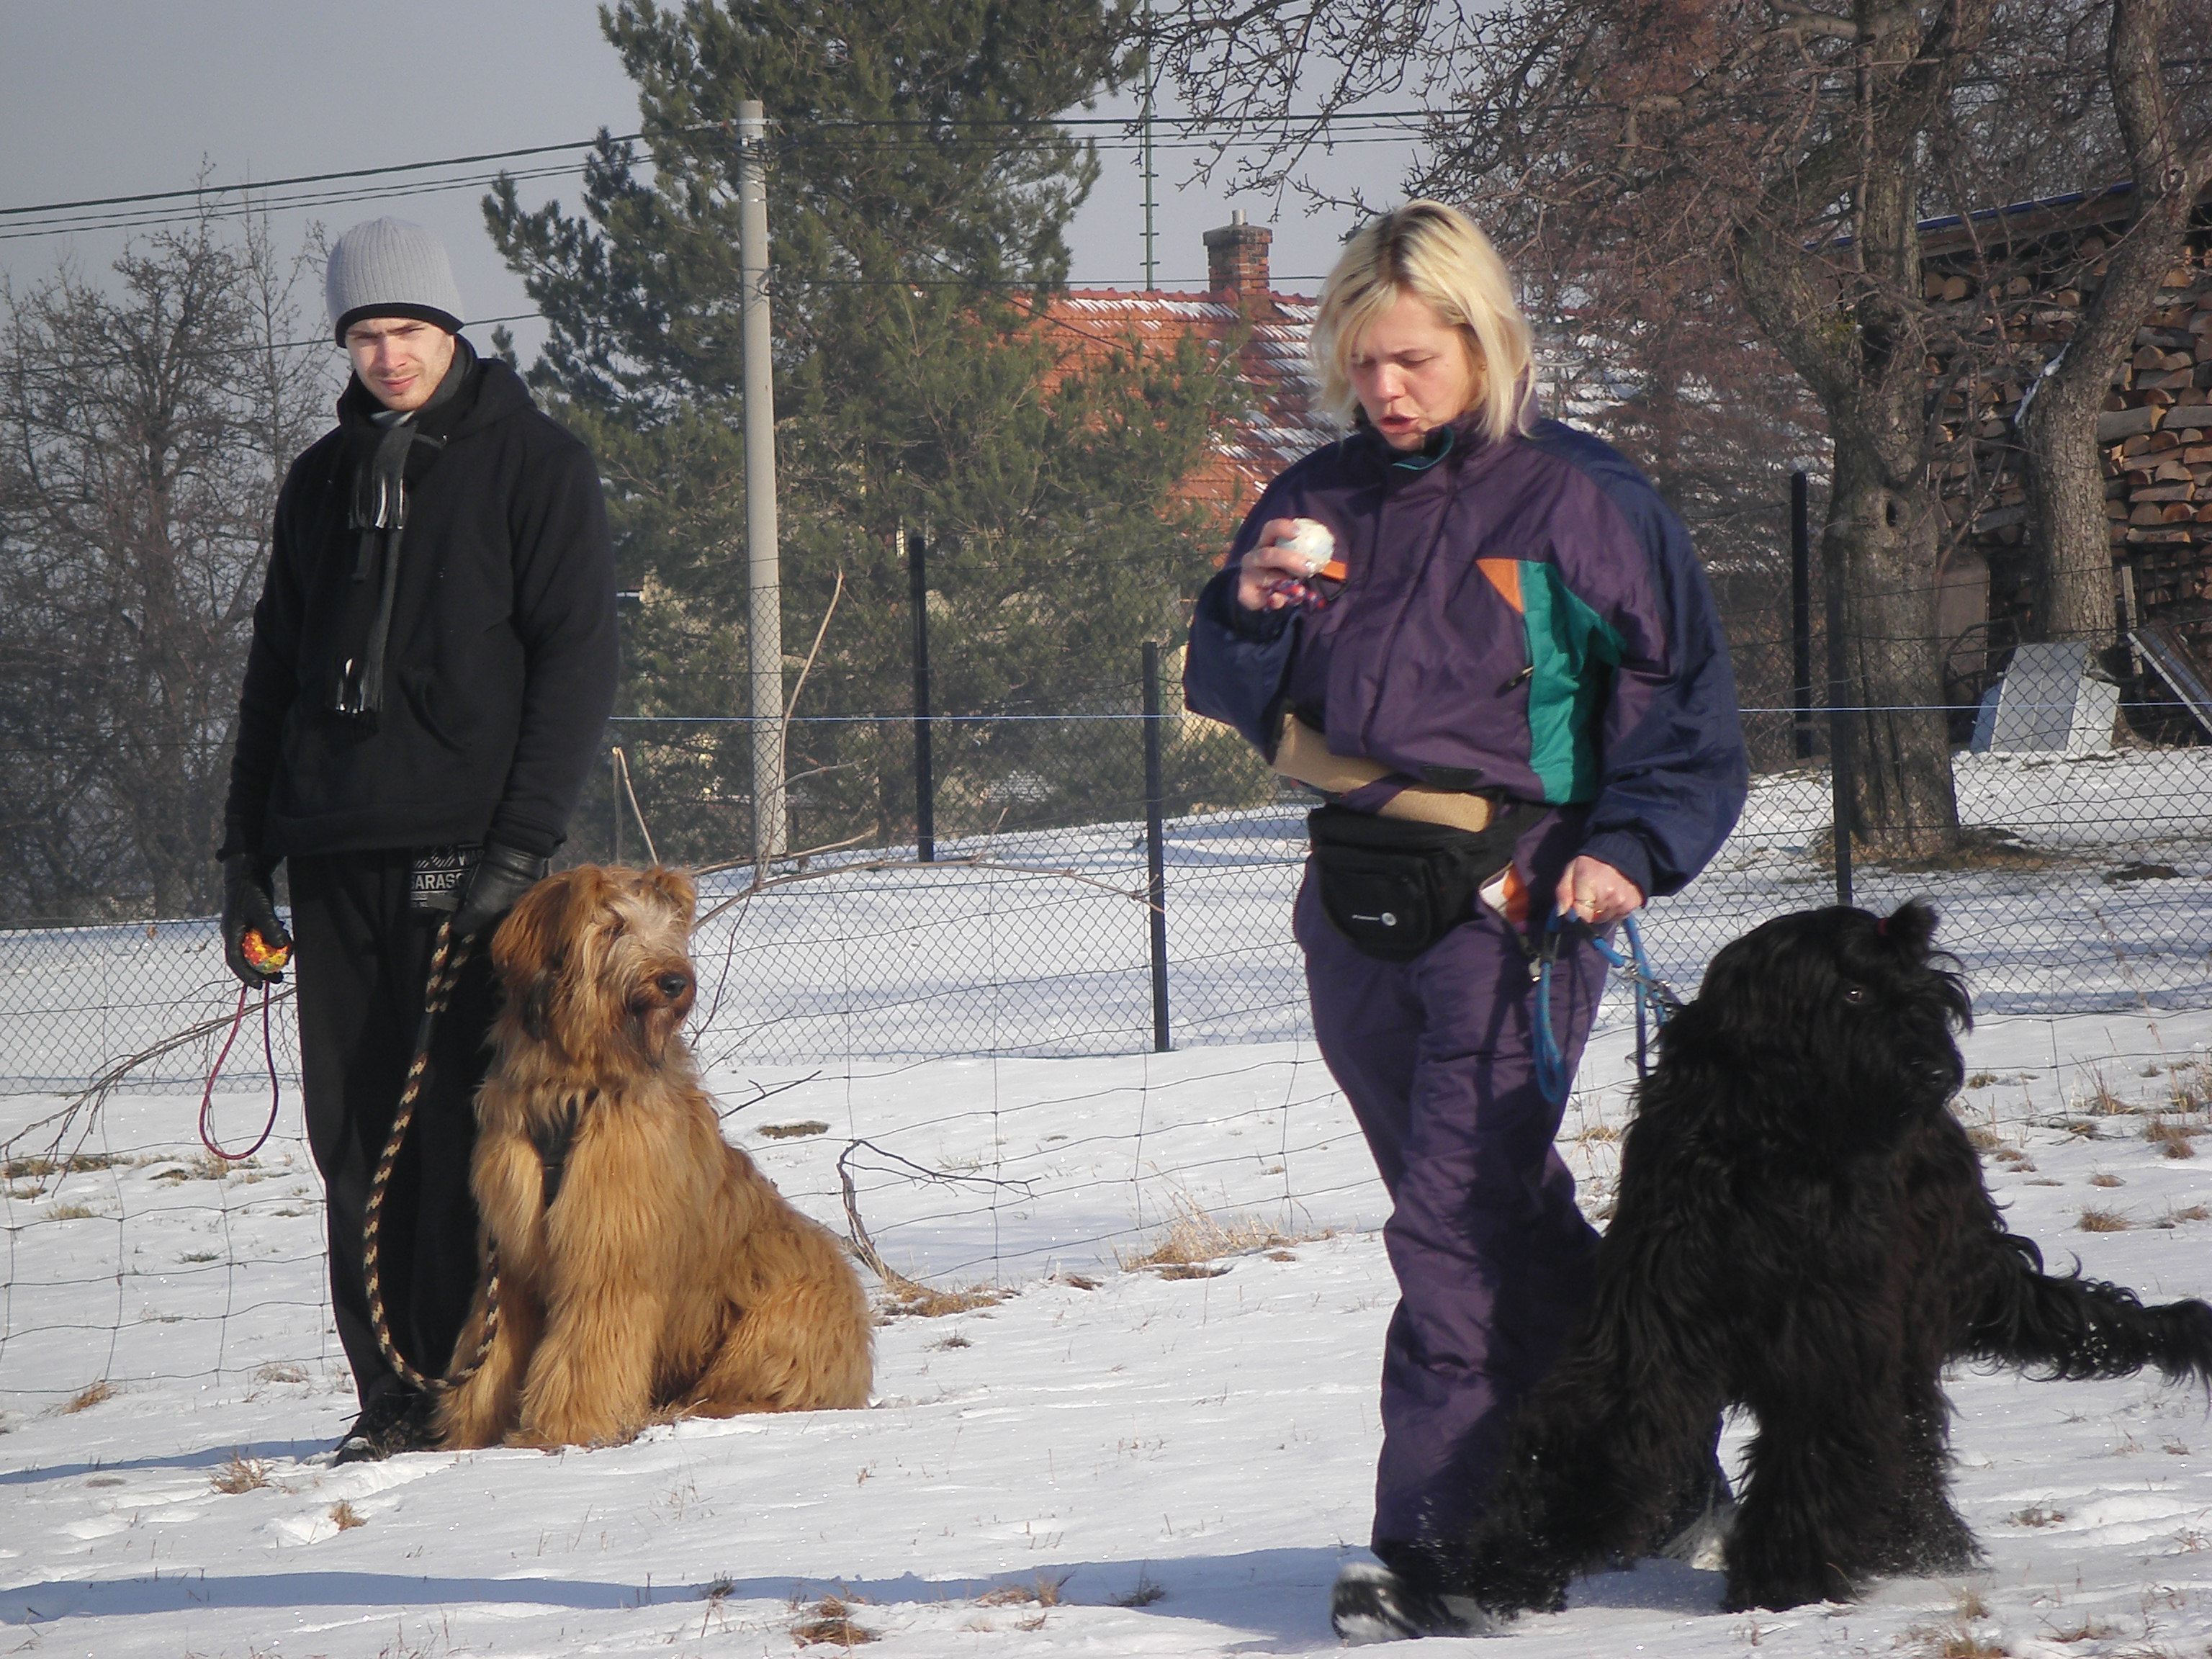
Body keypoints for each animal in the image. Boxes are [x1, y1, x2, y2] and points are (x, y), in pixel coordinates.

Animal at [433, 863, 871, 1451]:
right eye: (614, 926)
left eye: (670, 928)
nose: (674, 982)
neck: (580, 1084)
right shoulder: (512, 1262)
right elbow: (492, 1350)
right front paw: (470, 1434)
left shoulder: (611, 1249)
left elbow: (590, 1345)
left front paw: (567, 1426)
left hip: (779, 1315)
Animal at [1433, 902, 2212, 1619]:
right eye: (1855, 992)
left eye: (1931, 998)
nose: (1939, 1071)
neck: (1769, 1147)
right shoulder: (1653, 1315)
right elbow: (1607, 1420)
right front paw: (1518, 1557)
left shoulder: (1832, 1329)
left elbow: (1819, 1443)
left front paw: (1784, 1583)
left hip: (1913, 1310)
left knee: (1910, 1430)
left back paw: (1920, 1545)